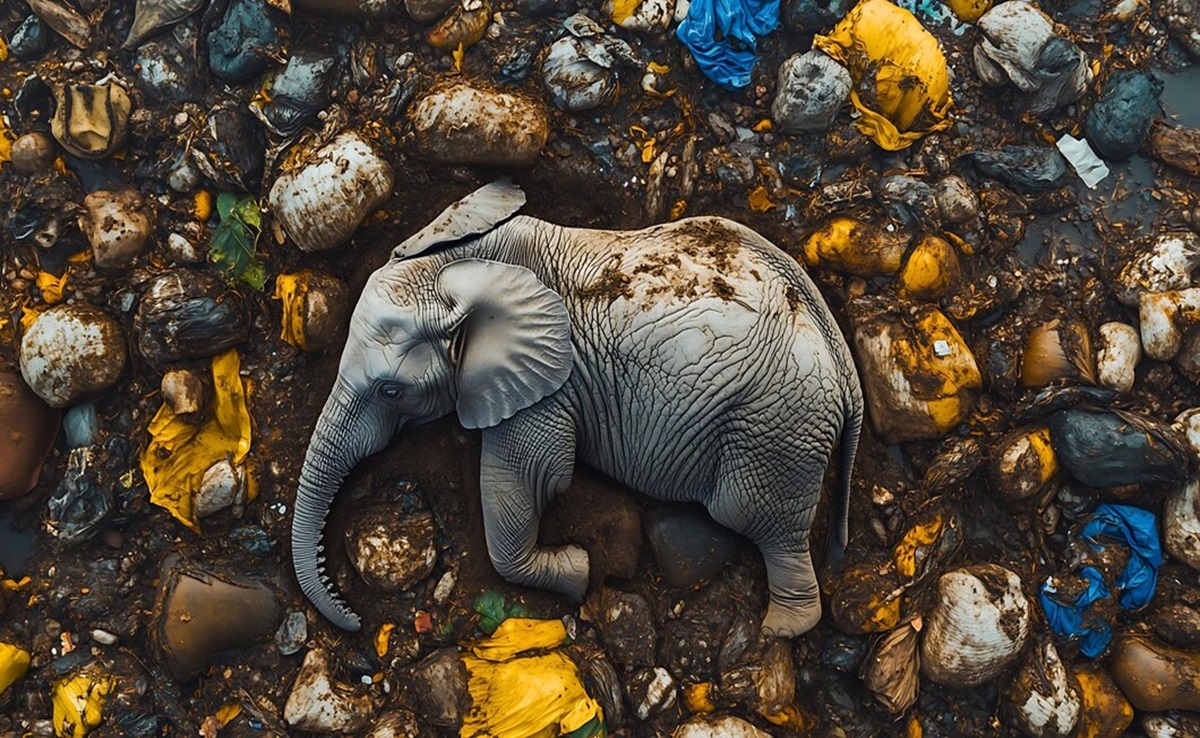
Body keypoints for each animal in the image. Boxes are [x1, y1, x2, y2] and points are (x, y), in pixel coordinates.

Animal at [291, 180, 863, 638]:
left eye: (390, 392)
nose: (356, 622)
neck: (466, 263)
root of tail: (846, 371)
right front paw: (580, 567)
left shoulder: (549, 388)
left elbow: (529, 478)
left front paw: (579, 570)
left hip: (775, 430)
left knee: (754, 520)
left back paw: (780, 630)